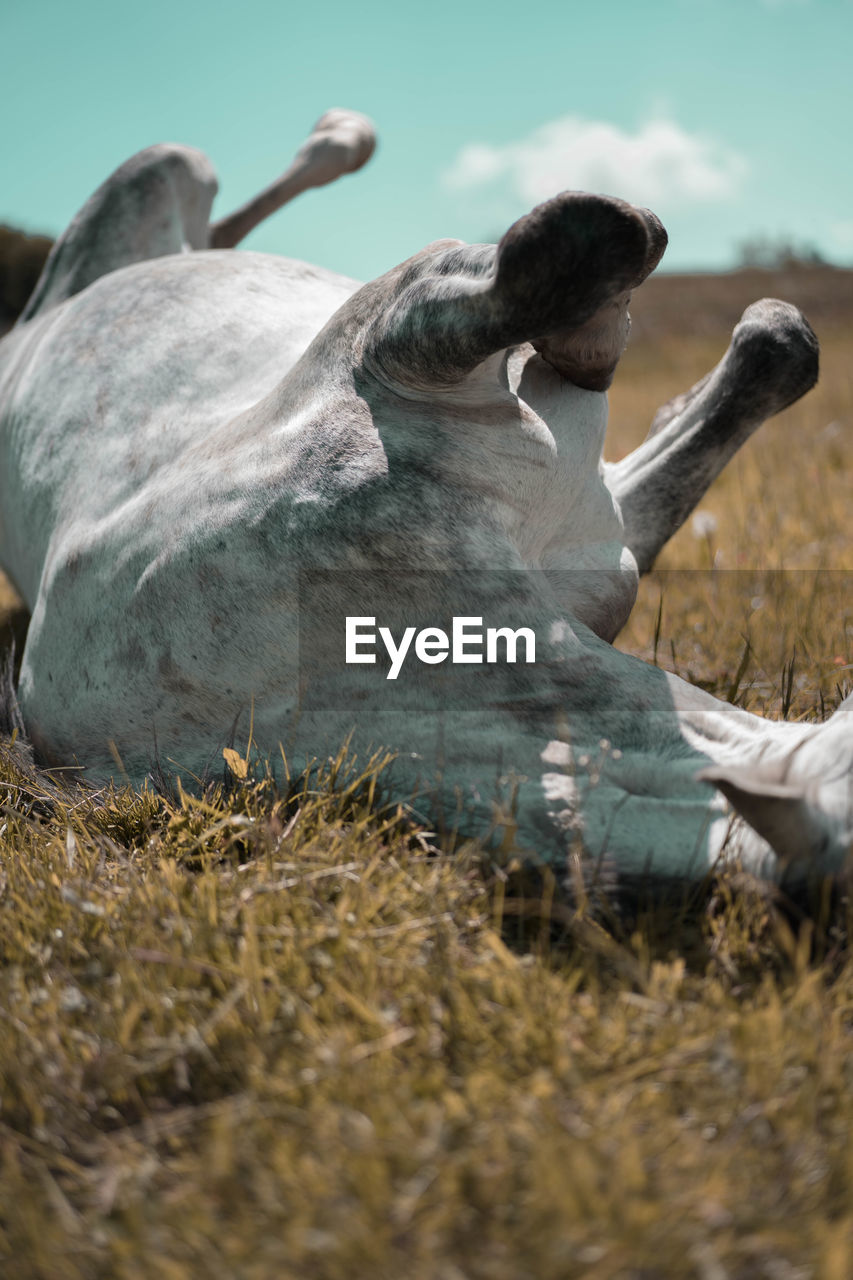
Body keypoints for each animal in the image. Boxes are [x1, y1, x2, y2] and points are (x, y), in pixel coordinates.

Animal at [0, 112, 845, 901]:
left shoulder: (601, 549)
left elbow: (777, 346)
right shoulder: (396, 329)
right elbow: (577, 241)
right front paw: (599, 321)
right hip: (163, 171)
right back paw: (338, 139)